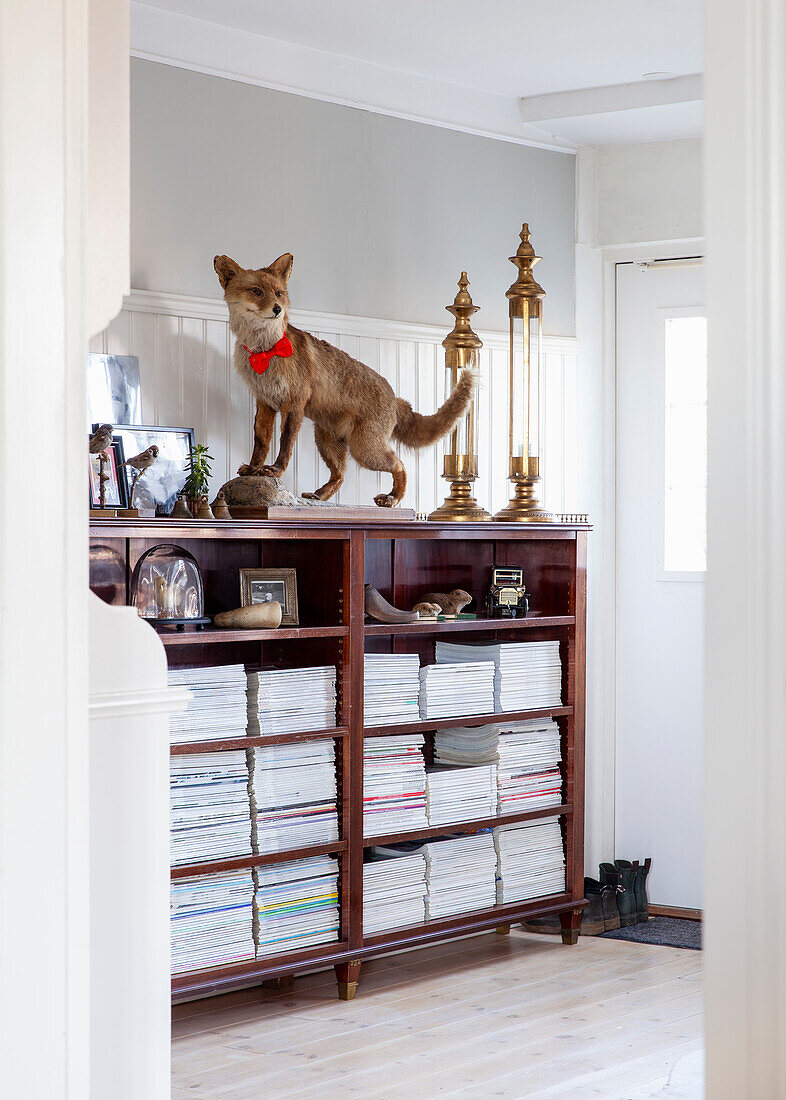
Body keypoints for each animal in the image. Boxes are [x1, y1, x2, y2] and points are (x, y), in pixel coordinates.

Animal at [212, 253, 477, 506]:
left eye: (279, 293)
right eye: (256, 291)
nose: (278, 309)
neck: (266, 352)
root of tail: (395, 398)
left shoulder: (294, 402)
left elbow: (285, 444)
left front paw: (275, 471)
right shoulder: (265, 402)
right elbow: (261, 443)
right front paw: (254, 468)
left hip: (365, 450)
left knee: (400, 464)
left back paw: (393, 498)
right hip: (327, 442)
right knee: (340, 475)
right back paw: (320, 495)